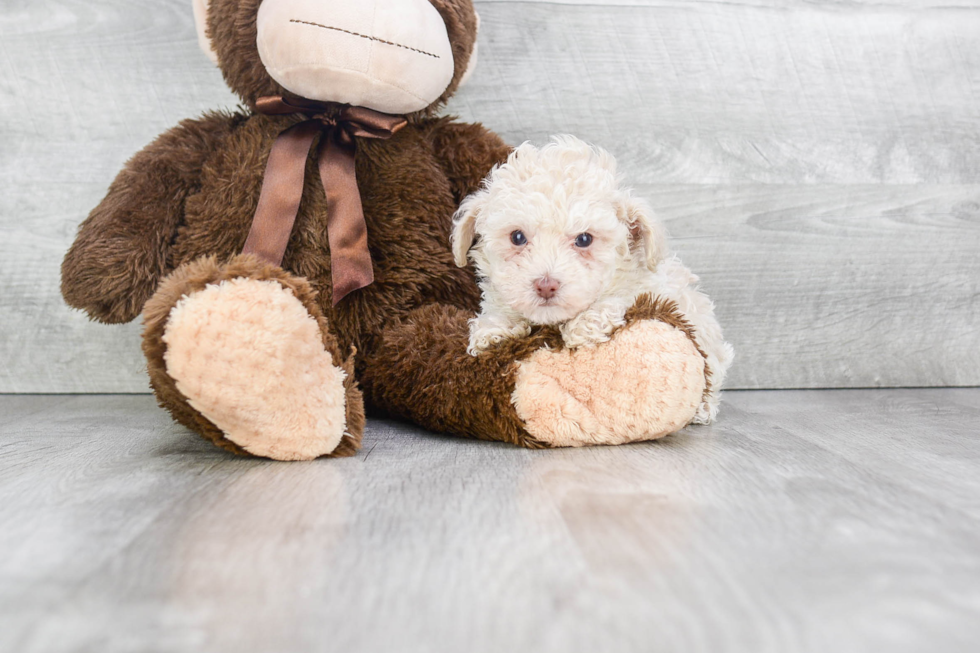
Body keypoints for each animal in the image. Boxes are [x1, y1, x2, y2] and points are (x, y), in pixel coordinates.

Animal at [448, 137, 732, 422]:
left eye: (584, 239)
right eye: (517, 237)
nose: (546, 285)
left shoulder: (651, 288)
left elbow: (621, 298)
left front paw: (584, 325)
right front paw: (495, 329)